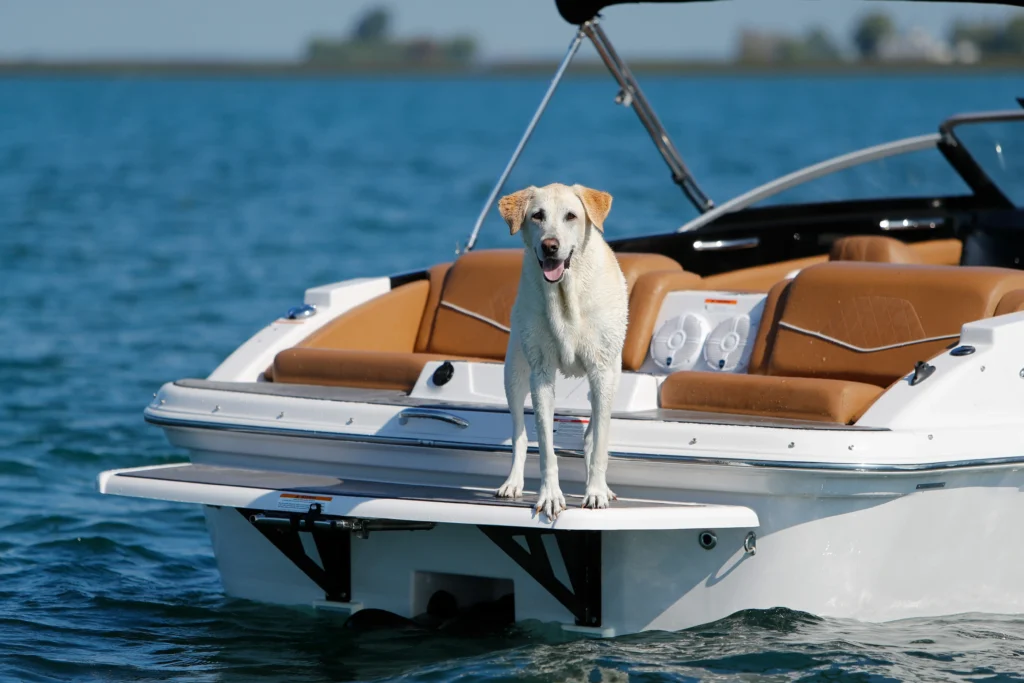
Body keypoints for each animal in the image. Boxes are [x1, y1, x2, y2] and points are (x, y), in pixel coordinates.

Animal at [493, 181, 626, 518]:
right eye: (537, 215)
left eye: (571, 216)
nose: (550, 245)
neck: (566, 292)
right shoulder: (540, 374)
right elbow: (545, 447)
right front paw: (550, 496)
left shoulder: (602, 371)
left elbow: (600, 442)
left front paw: (596, 492)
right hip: (513, 374)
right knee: (519, 433)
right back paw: (512, 483)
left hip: (613, 376)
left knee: (594, 433)